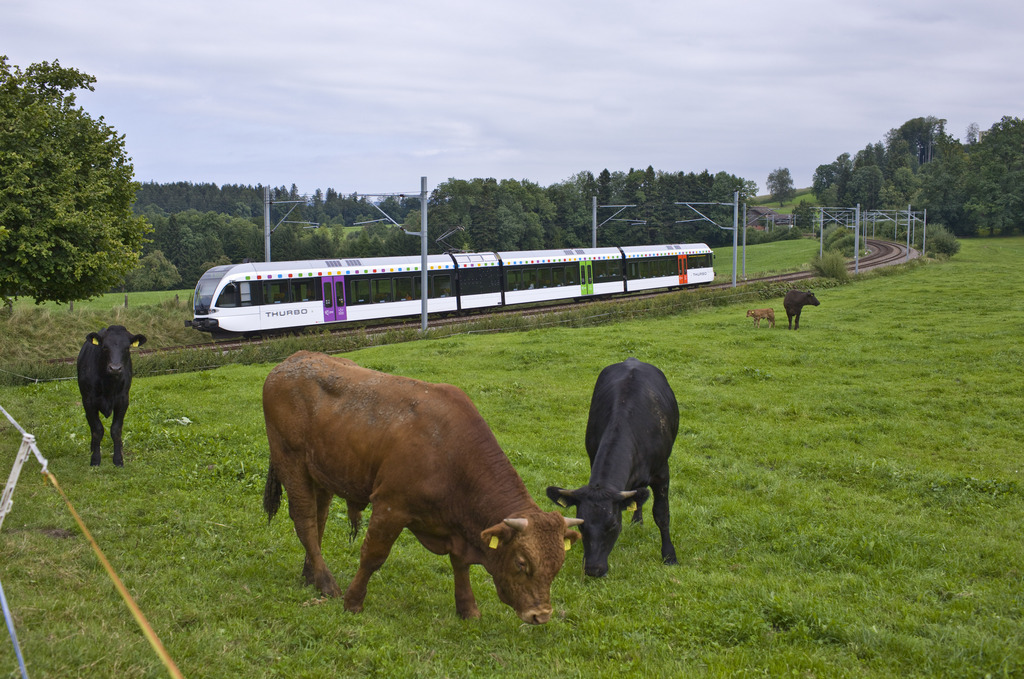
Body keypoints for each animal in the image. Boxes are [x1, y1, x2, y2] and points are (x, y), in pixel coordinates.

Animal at [75, 325, 146, 464]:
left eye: (127, 348)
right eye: (104, 347)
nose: (115, 368)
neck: (108, 384)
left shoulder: (123, 400)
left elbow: (116, 430)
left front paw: (118, 459)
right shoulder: (88, 401)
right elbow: (97, 429)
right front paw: (95, 458)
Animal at [262, 352, 585, 622]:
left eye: (557, 566)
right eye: (521, 563)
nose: (540, 615)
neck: (450, 452)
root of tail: (290, 361)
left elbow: (460, 564)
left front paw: (468, 609)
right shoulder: (390, 506)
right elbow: (373, 556)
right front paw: (353, 602)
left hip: (321, 473)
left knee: (319, 520)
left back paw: (311, 575)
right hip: (290, 462)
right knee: (305, 521)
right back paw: (326, 583)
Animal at [544, 358, 679, 577]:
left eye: (613, 524)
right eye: (581, 524)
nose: (593, 569)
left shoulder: (662, 473)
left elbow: (661, 514)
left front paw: (669, 556)